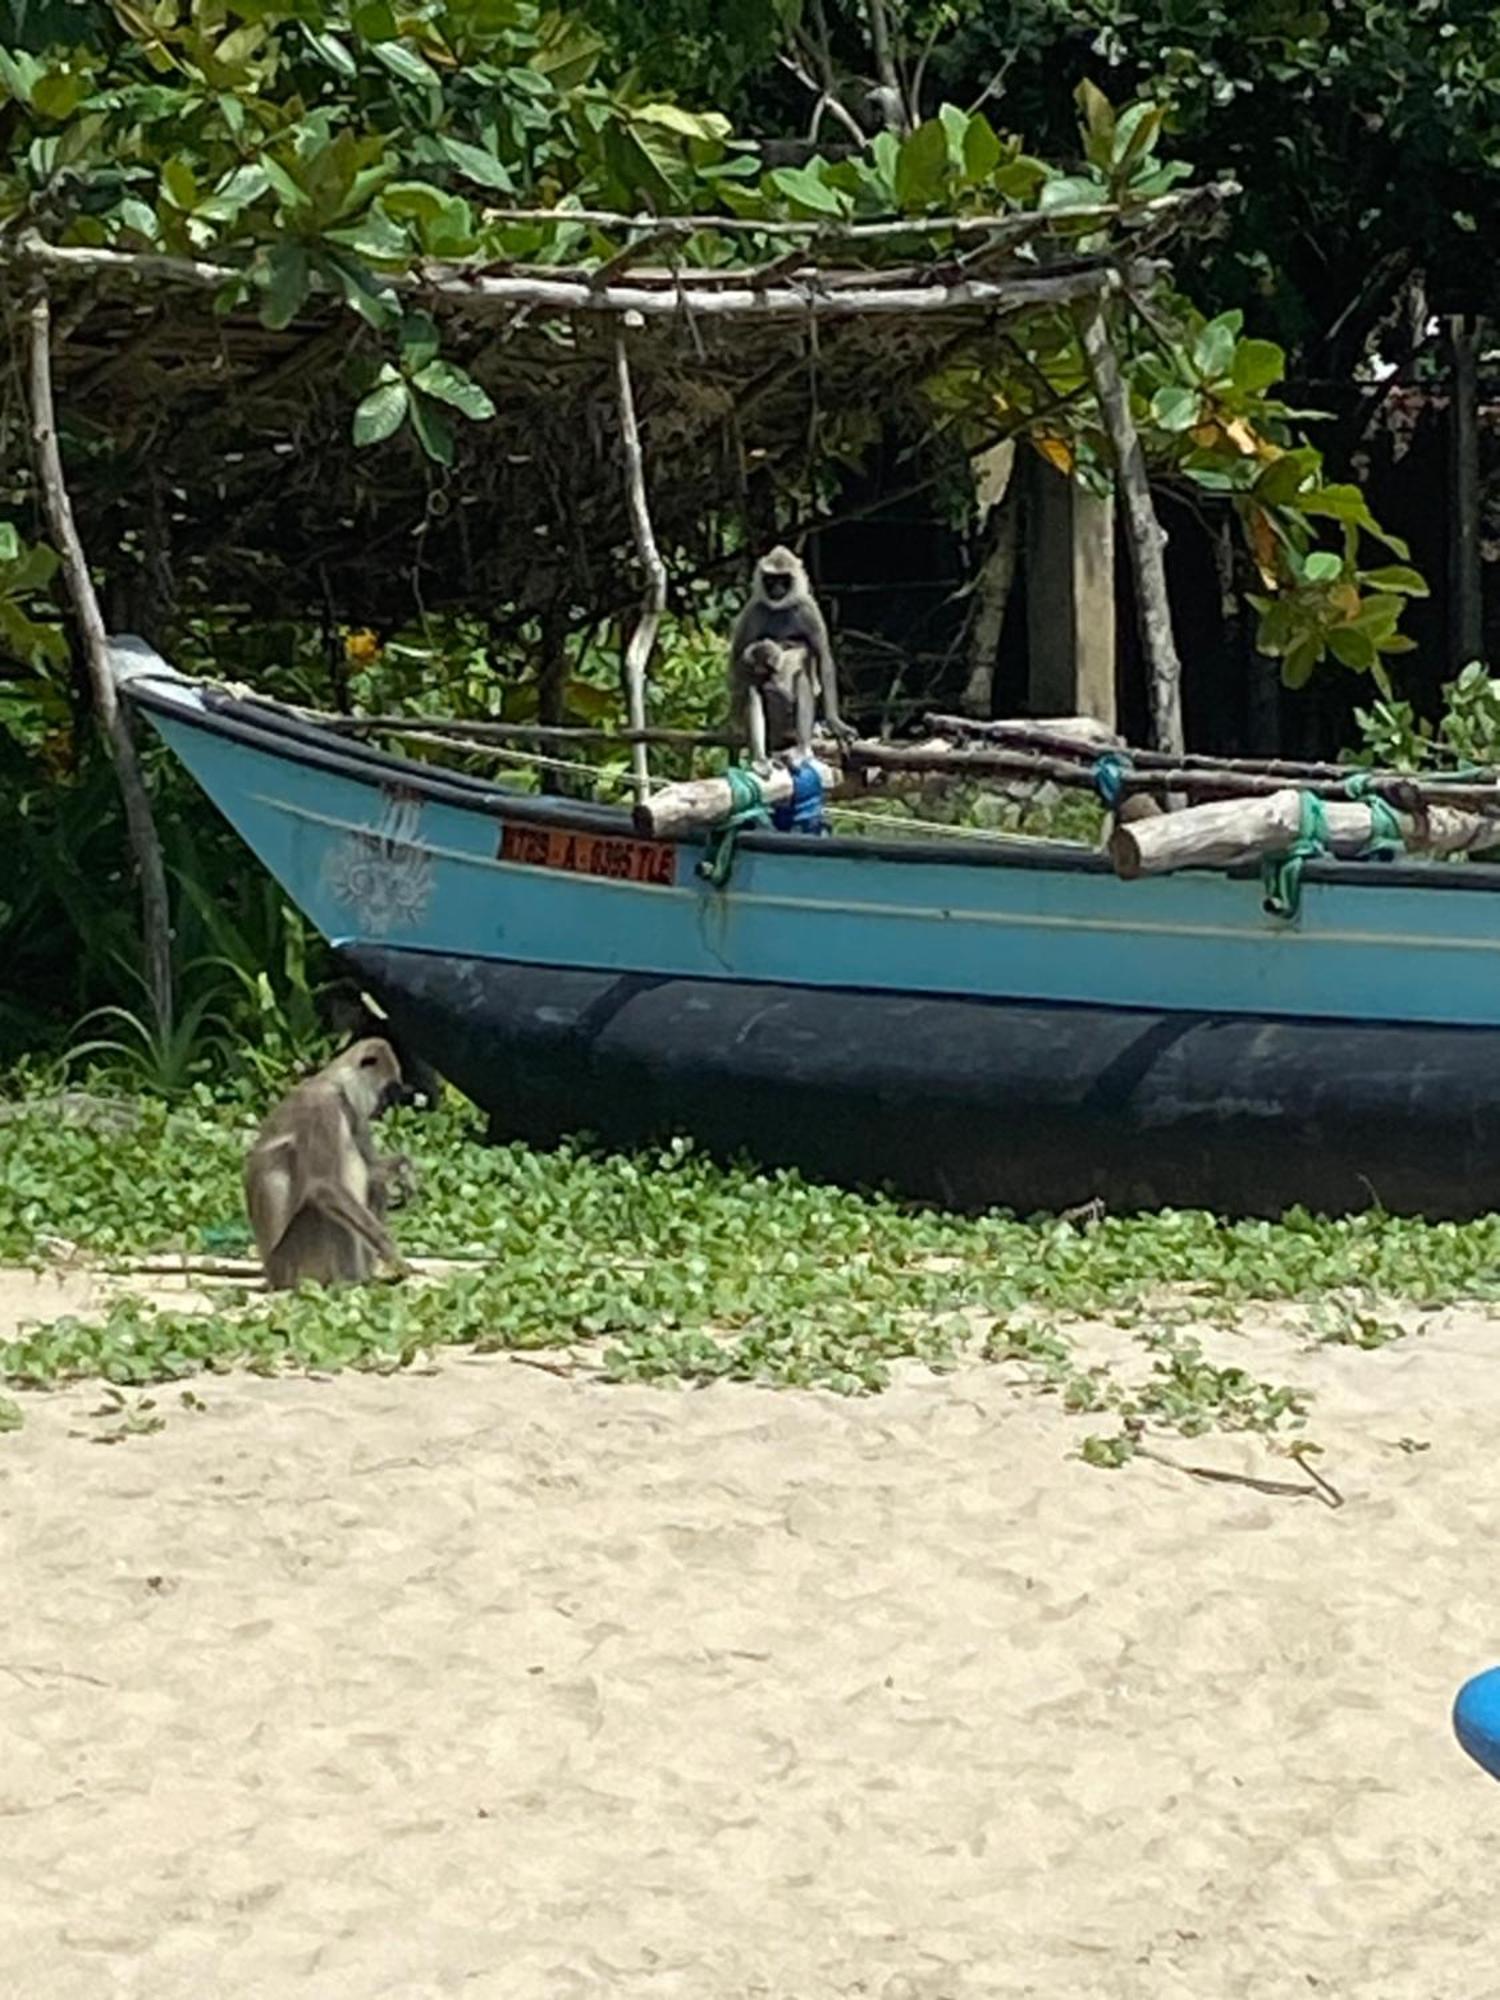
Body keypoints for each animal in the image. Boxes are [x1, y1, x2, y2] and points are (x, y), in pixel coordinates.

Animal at [245, 1040, 414, 1288]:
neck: (336, 1084)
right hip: (291, 1264)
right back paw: (352, 1282)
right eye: (386, 1091)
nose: (383, 1108)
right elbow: (324, 1186)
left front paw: (405, 1168)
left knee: (375, 1185)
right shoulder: (322, 1107)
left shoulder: (354, 1113)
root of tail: (271, 1274)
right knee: (324, 1205)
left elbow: (371, 1169)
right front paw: (390, 1250)